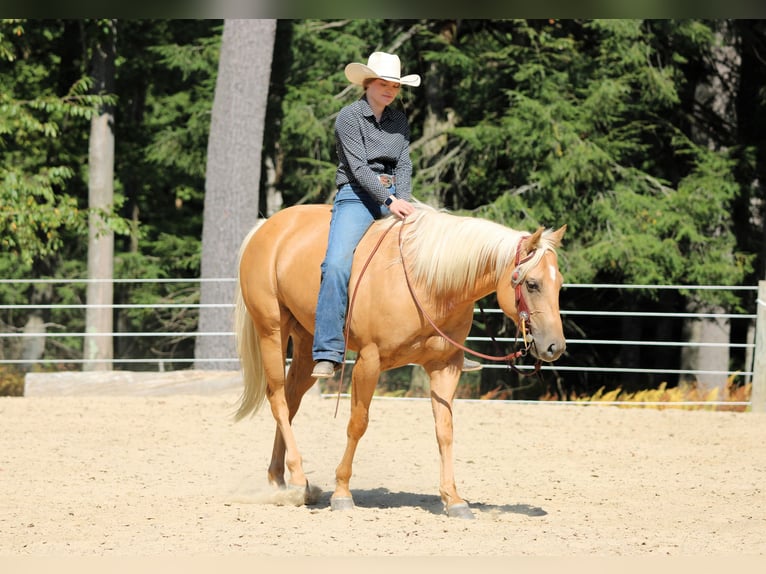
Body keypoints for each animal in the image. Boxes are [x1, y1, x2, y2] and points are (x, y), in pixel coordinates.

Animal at [233, 203, 566, 519]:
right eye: (532, 284)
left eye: (559, 283)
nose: (555, 347)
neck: (426, 282)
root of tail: (267, 227)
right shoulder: (369, 361)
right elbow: (358, 423)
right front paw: (342, 493)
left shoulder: (445, 366)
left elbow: (445, 430)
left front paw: (453, 499)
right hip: (272, 331)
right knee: (277, 397)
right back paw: (298, 477)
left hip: (304, 343)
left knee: (290, 403)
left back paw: (280, 481)